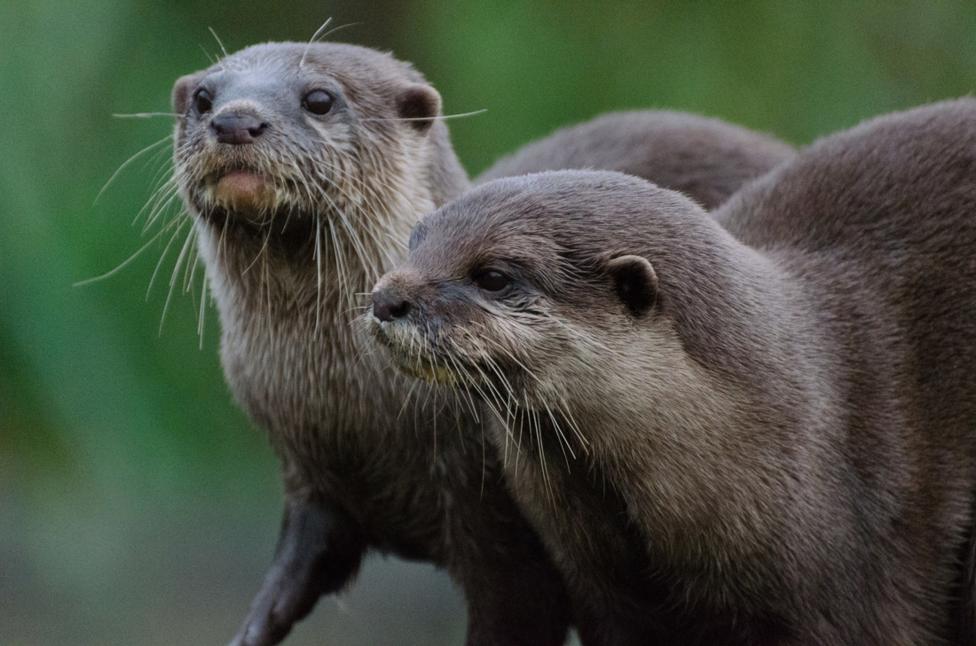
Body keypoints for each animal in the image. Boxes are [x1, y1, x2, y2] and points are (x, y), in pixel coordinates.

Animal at [168, 41, 792, 646]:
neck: (355, 408)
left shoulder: (503, 529)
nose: (235, 121)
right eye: (203, 97)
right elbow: (291, 575)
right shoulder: (308, 478)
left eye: (319, 98)